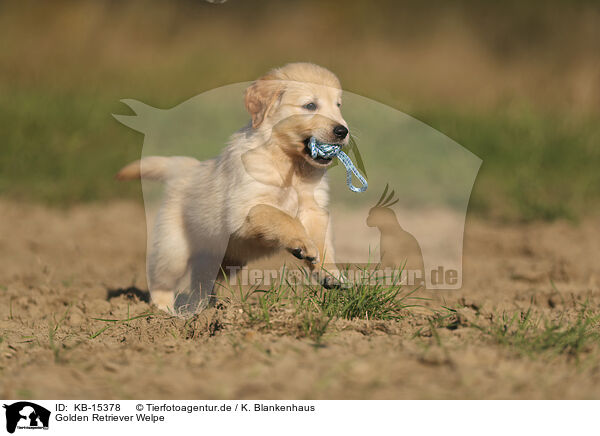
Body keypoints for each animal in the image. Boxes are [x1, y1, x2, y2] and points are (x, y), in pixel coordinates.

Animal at [116, 63, 346, 312]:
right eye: (310, 105)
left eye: (338, 105)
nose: (343, 131)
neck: (290, 164)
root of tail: (188, 168)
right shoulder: (244, 208)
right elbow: (279, 216)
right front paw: (303, 244)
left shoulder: (314, 209)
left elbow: (322, 241)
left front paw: (329, 272)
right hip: (174, 249)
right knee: (162, 279)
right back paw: (164, 310)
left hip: (223, 260)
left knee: (201, 279)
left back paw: (205, 307)